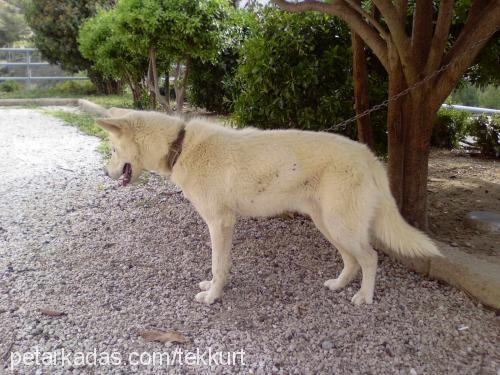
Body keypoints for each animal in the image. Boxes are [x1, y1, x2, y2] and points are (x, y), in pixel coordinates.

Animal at [95, 111, 440, 306]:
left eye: (112, 150)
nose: (104, 172)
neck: (179, 146)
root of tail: (367, 154)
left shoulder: (220, 223)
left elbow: (218, 265)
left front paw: (213, 297)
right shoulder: (223, 226)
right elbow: (220, 266)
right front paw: (214, 289)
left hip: (340, 226)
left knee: (369, 258)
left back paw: (364, 297)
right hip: (328, 225)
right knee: (352, 260)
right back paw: (339, 285)